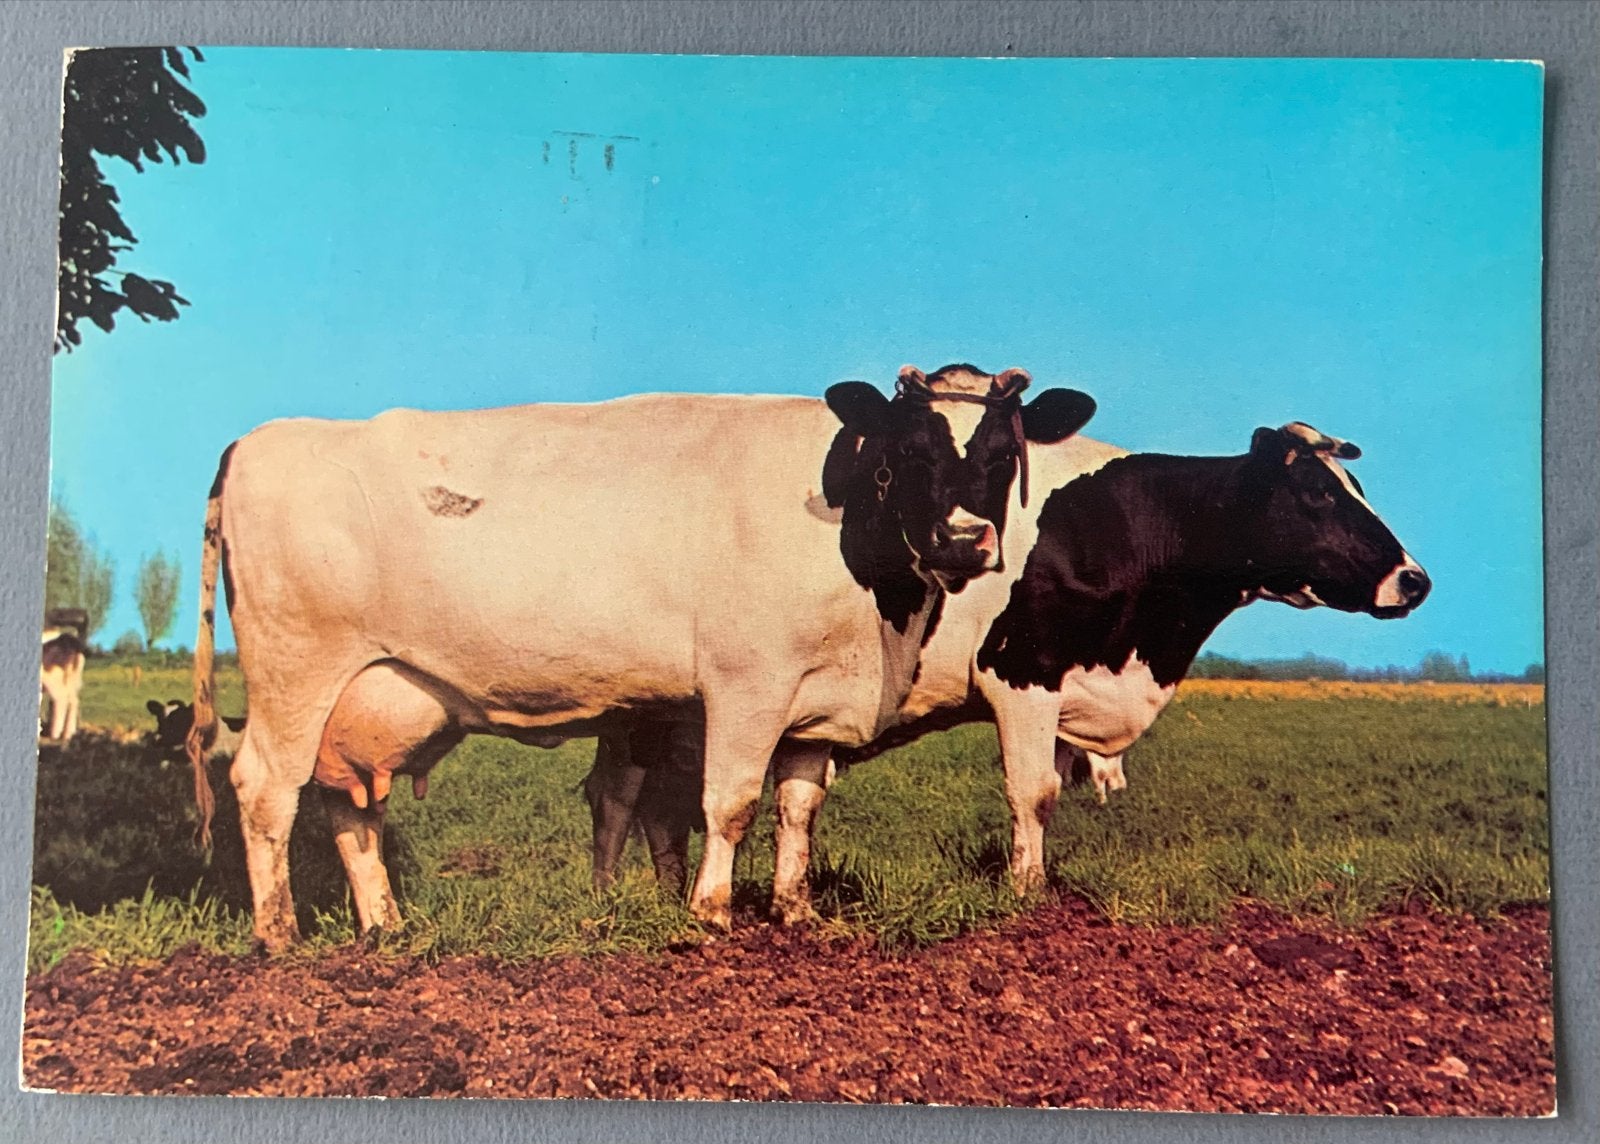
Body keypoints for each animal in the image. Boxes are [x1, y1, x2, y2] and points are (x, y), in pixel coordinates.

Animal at [186, 367, 1097, 950]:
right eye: (911, 450)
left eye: (1001, 454)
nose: (963, 539)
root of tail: (257, 442)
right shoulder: (745, 683)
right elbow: (728, 803)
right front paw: (711, 912)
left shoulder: (816, 701)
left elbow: (798, 806)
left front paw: (797, 914)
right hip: (293, 672)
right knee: (264, 791)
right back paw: (279, 936)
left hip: (363, 696)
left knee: (348, 807)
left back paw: (385, 926)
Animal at [584, 420, 1428, 908]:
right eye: (1317, 494)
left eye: (1353, 484)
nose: (1414, 578)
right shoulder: (1023, 672)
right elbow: (1035, 792)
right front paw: (1028, 891)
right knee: (635, 799)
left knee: (629, 799)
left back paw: (623, 898)